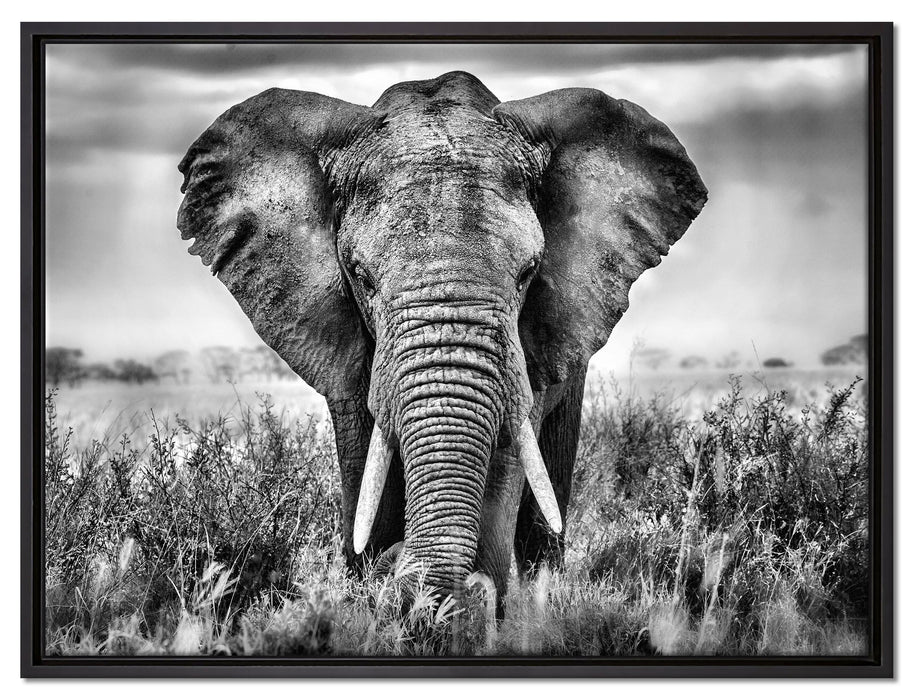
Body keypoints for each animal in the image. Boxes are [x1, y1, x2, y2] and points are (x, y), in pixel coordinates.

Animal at [176, 71, 707, 606]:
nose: (400, 568)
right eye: (361, 277)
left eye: (528, 274)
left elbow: (505, 460)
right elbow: (364, 463)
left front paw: (473, 604)